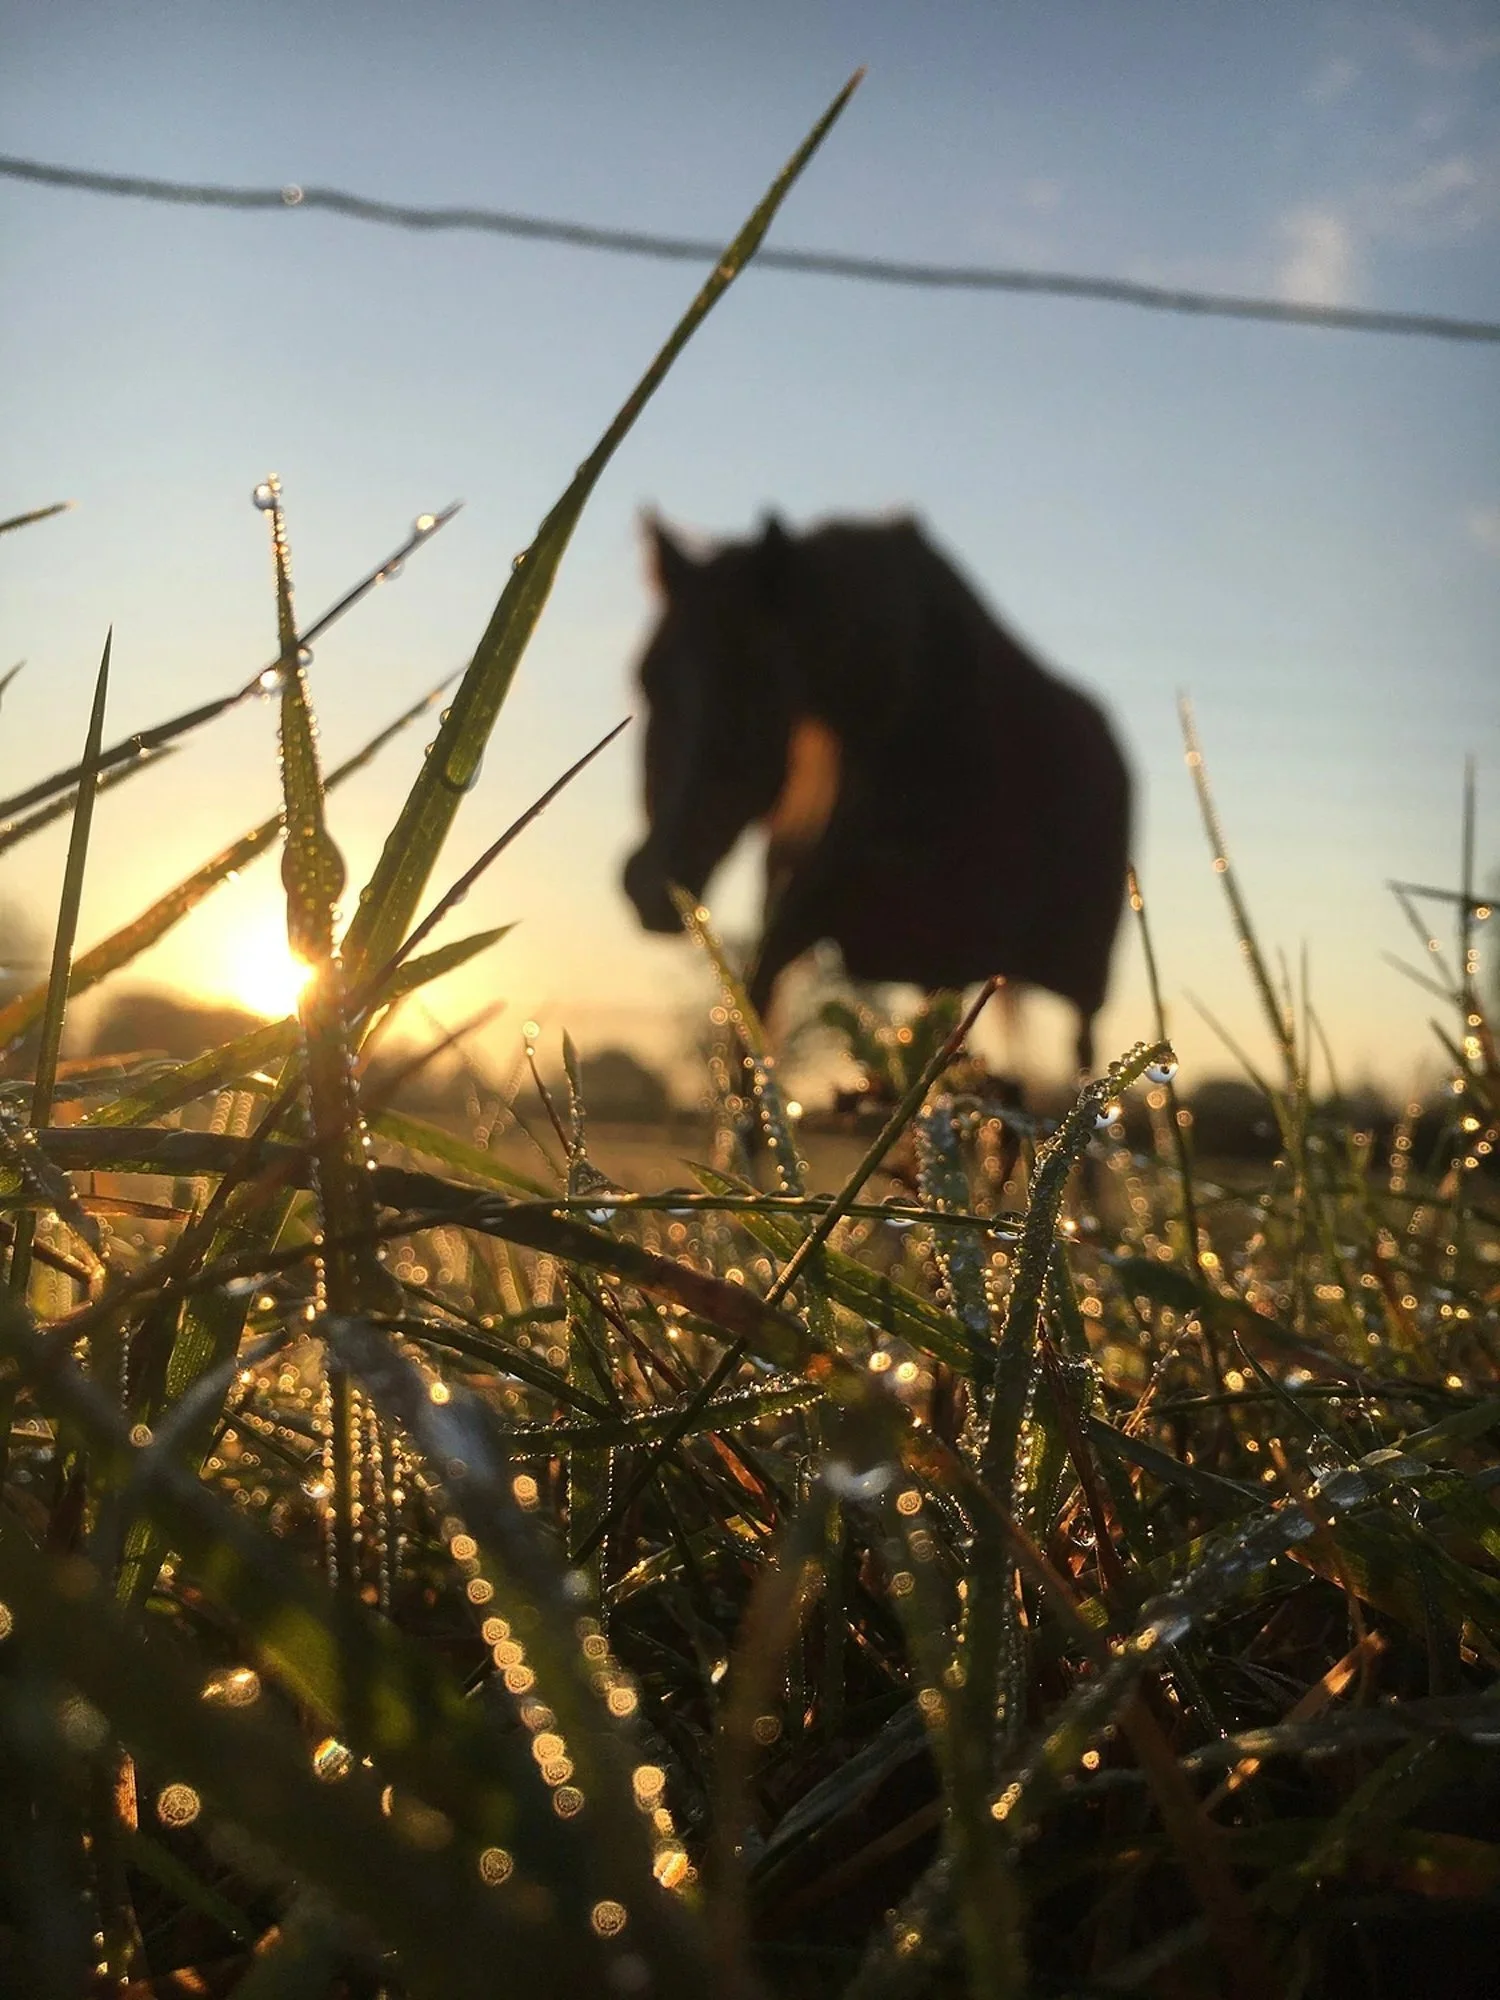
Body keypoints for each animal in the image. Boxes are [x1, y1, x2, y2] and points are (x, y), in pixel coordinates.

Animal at [621, 513, 1132, 1071]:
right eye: (645, 678)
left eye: (755, 681)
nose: (651, 881)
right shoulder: (783, 939)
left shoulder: (953, 950)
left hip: (1078, 987)